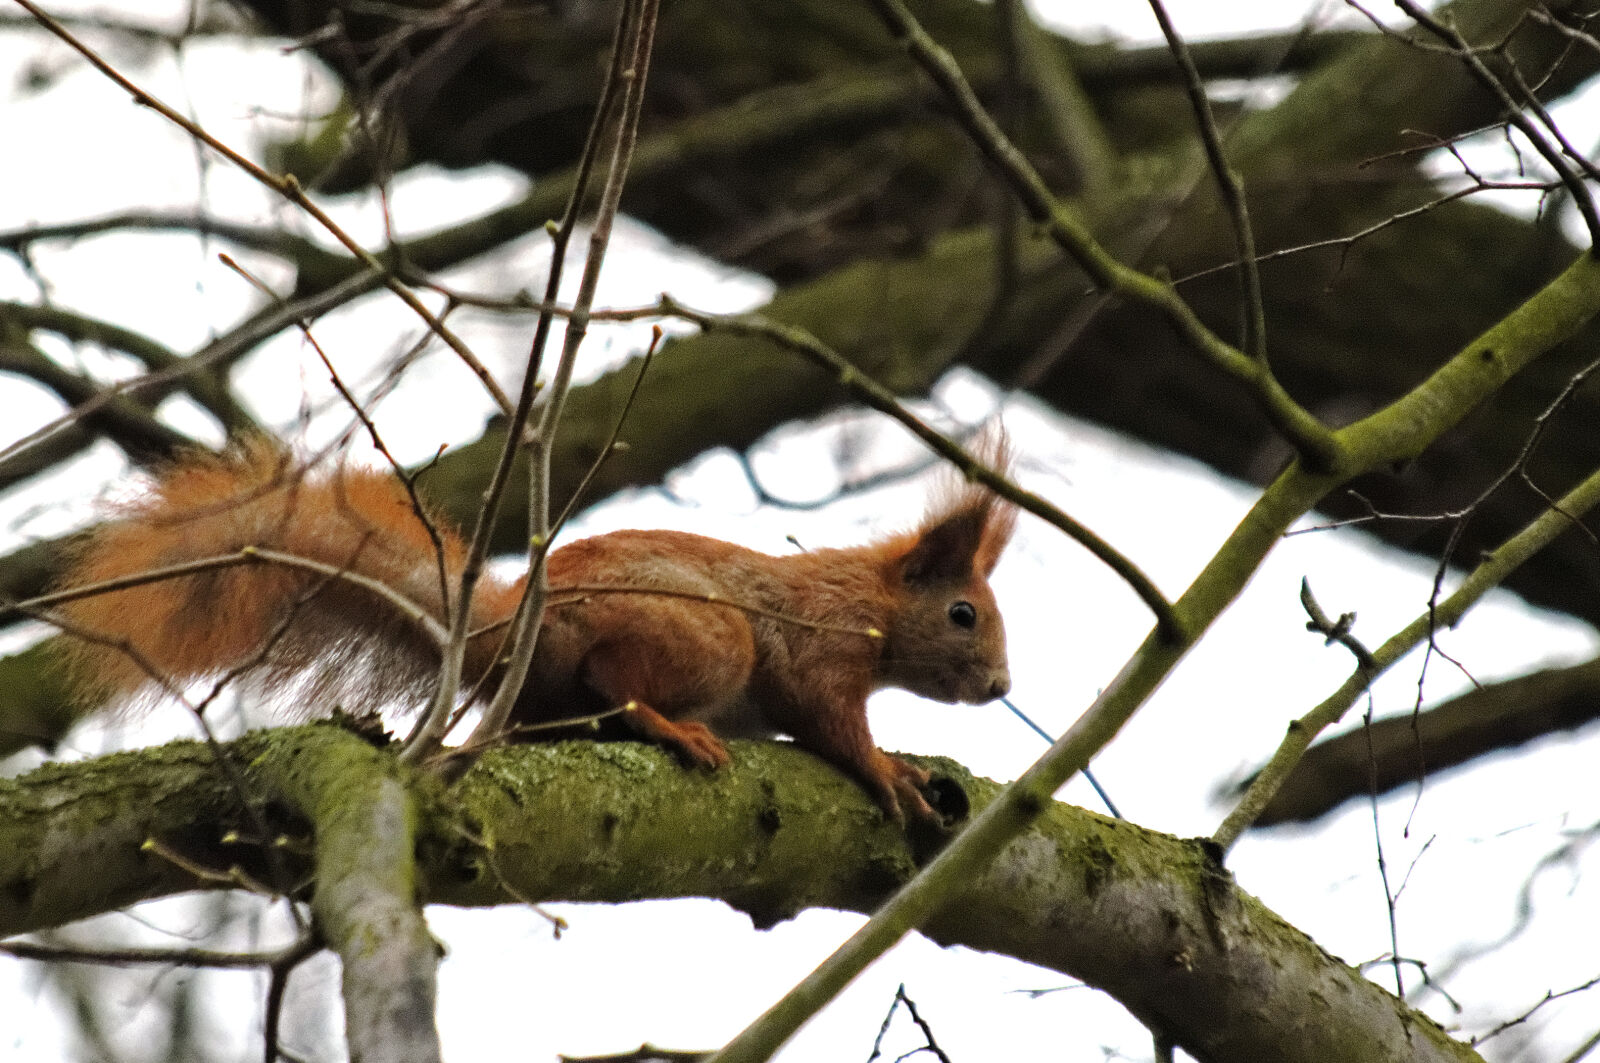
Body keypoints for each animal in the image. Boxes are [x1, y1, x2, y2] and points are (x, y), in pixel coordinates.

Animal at [56, 436, 1017, 823]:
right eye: (963, 613)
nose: (1002, 686)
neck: (874, 606)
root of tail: (507, 635)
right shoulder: (817, 639)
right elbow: (828, 719)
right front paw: (888, 770)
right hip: (708, 638)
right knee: (614, 686)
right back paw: (673, 727)